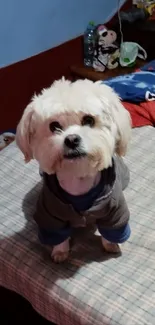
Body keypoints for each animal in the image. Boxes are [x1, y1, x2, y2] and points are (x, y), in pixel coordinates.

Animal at [16, 78, 131, 260]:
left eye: (89, 120)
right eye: (54, 126)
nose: (71, 140)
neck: (78, 178)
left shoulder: (115, 212)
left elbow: (113, 229)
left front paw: (111, 245)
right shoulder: (50, 215)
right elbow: (57, 235)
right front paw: (60, 251)